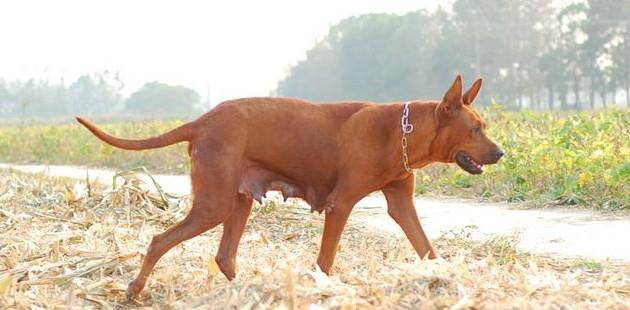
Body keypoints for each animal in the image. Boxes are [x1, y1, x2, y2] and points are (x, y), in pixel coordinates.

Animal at [78, 74, 504, 300]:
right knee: (159, 241)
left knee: (225, 257)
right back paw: (135, 290)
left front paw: (447, 279)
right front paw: (323, 289)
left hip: (237, 202)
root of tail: (203, 120)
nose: (500, 152)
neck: (402, 130)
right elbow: (326, 260)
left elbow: (426, 247)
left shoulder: (402, 204)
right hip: (214, 204)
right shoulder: (340, 204)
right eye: (476, 129)